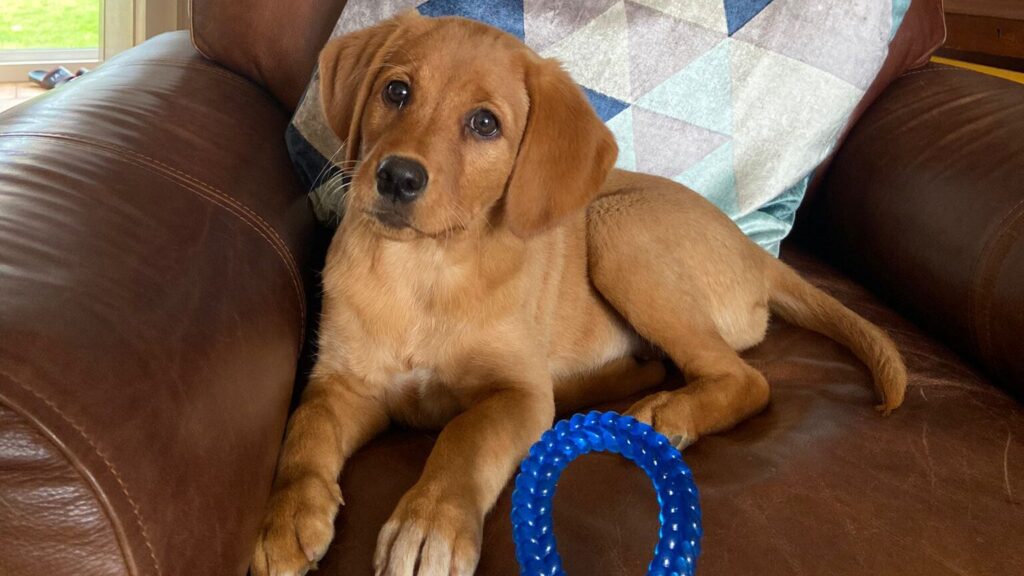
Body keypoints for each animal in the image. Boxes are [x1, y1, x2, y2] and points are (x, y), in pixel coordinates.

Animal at [251, 13, 909, 573]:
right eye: (396, 92)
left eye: (484, 124)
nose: (396, 177)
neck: (423, 271)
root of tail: (754, 251)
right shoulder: (343, 382)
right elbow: (305, 426)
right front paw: (285, 516)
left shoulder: (515, 393)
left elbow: (465, 438)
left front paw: (428, 525)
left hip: (617, 231)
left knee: (746, 378)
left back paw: (671, 411)